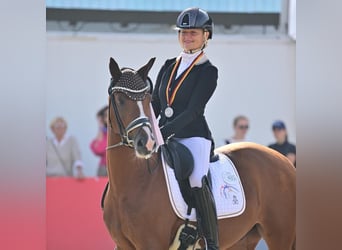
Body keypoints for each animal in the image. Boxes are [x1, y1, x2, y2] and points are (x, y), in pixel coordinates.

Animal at [102, 57, 296, 249]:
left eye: (146, 100)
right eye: (120, 99)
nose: (147, 142)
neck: (134, 183)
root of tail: (285, 161)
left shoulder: (152, 244)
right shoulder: (122, 245)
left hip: (279, 234)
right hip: (245, 238)